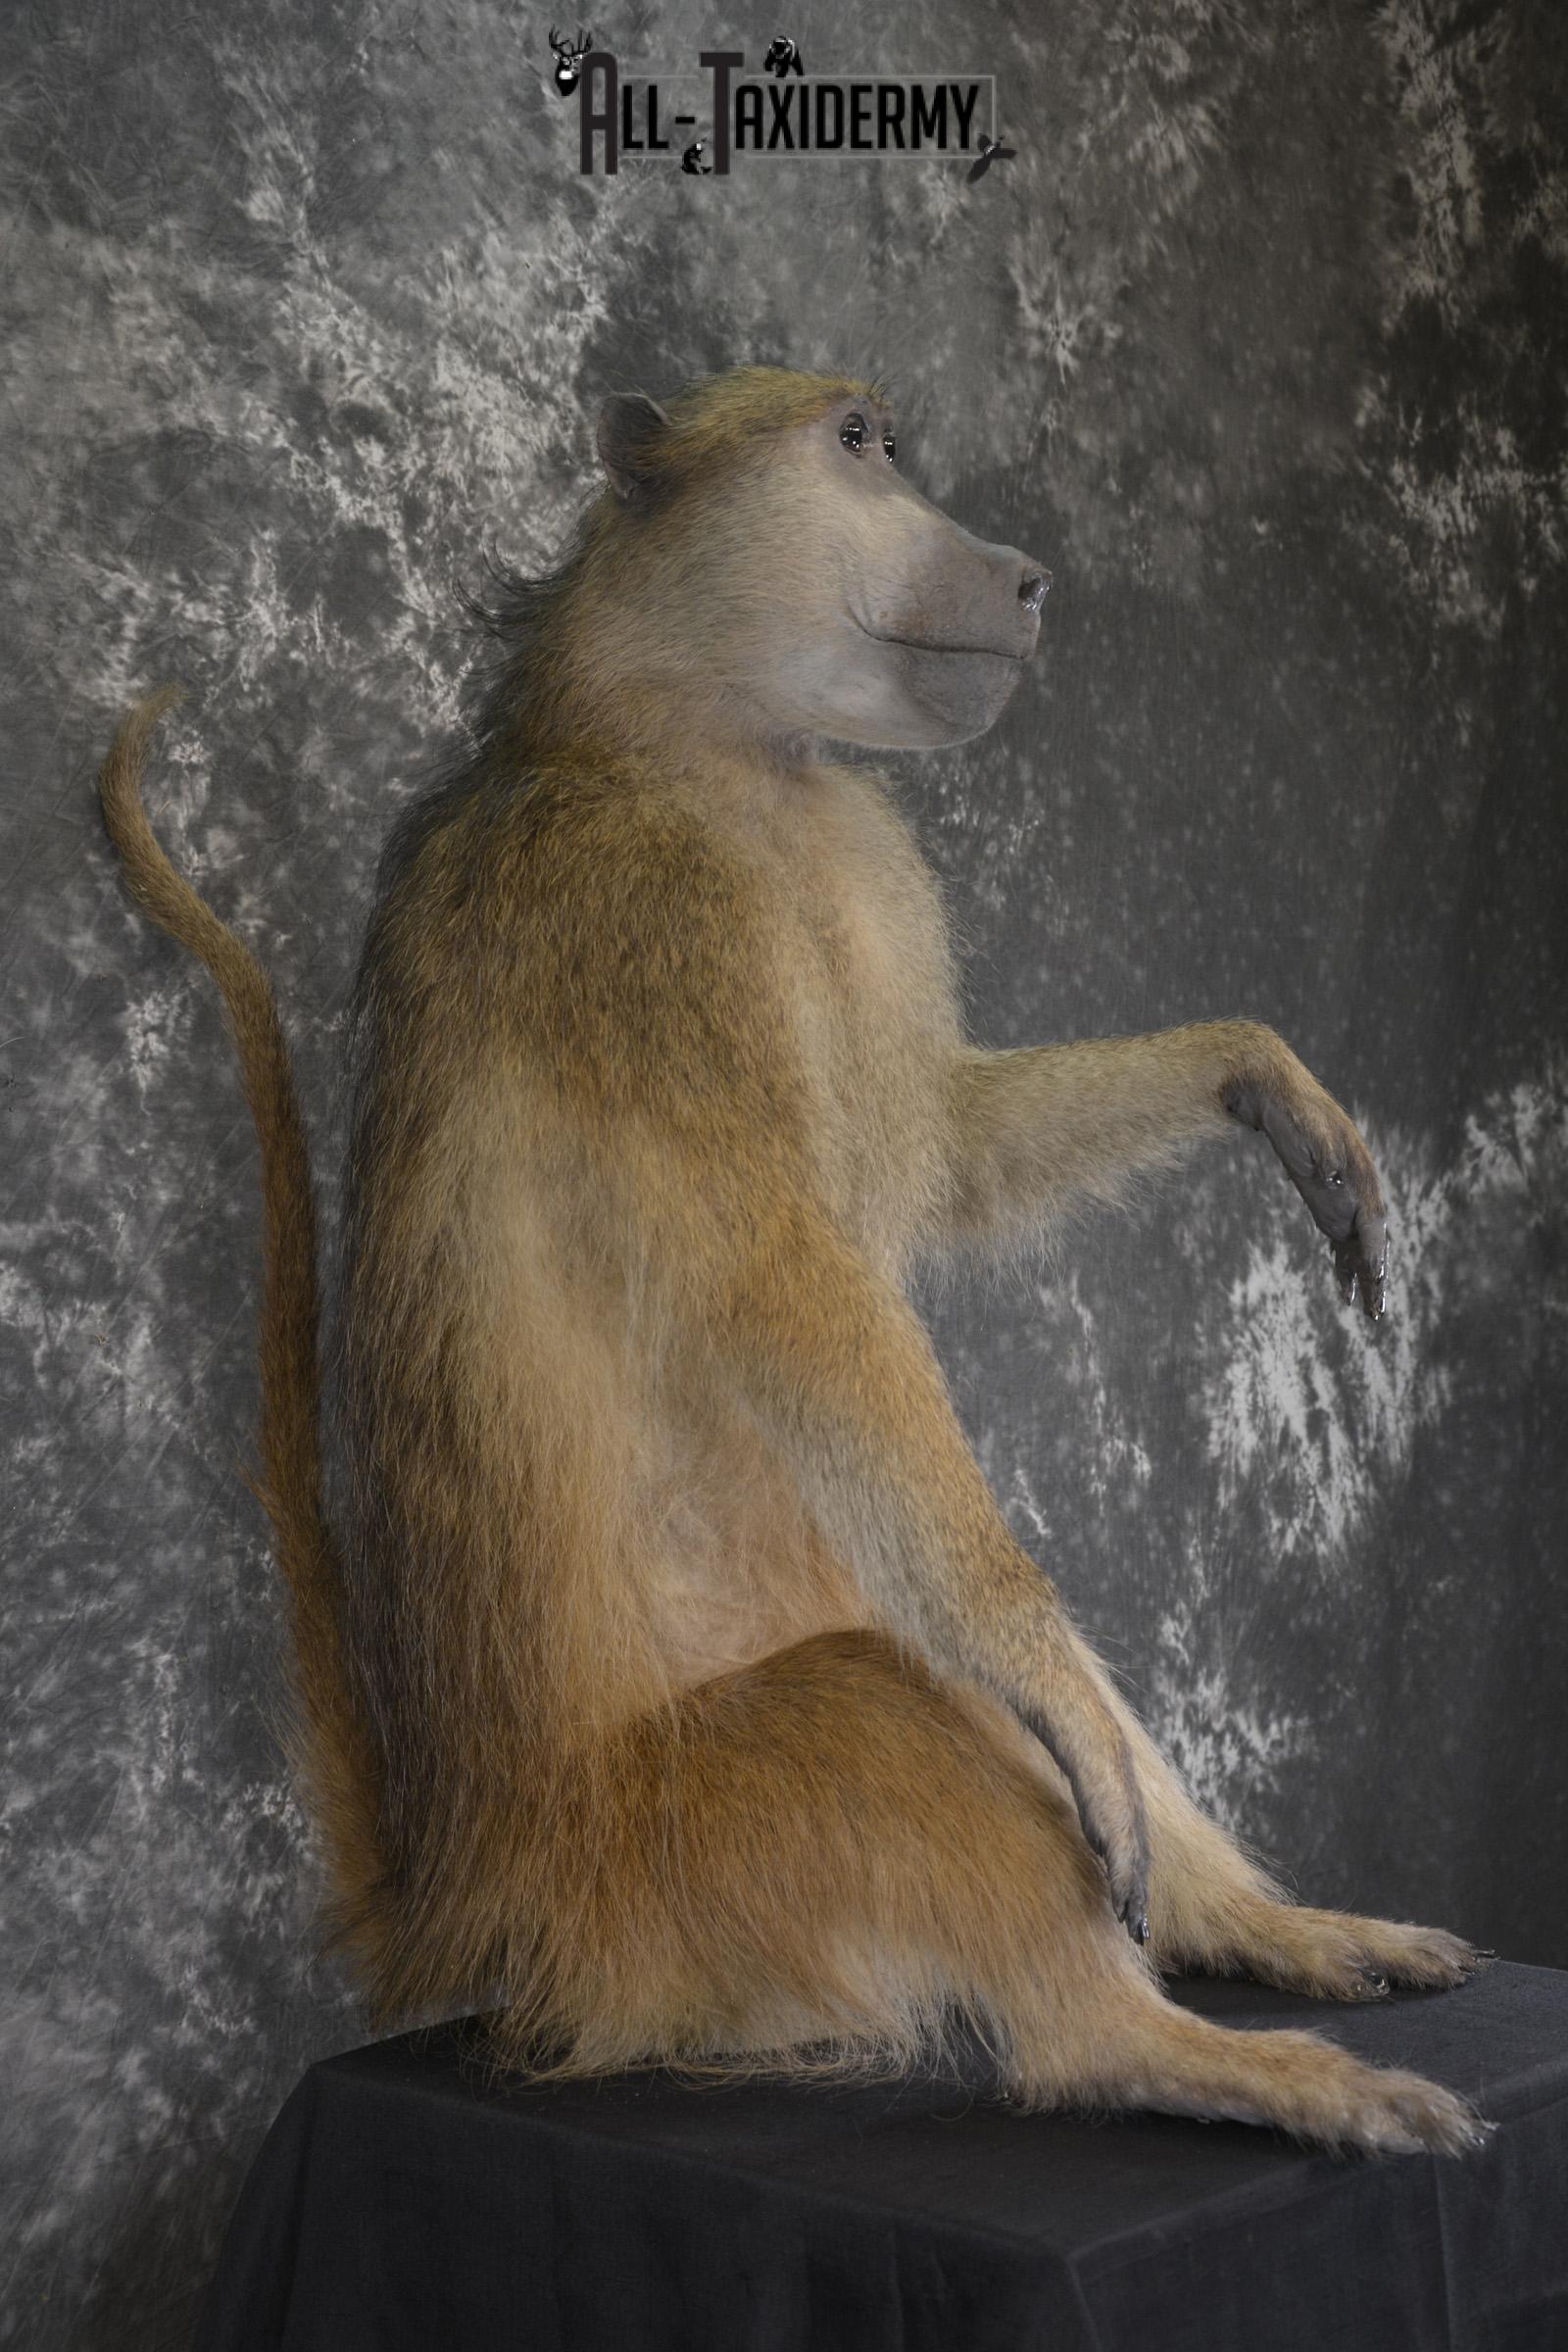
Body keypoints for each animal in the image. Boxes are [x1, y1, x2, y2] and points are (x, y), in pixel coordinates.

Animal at [100, 364, 1493, 2157]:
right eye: (860, 446)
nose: (1026, 578)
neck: (695, 741)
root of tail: (486, 1895)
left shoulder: (855, 854)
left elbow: (952, 1159)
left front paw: (1262, 1079)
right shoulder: (647, 921)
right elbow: (791, 1284)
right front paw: (1056, 1700)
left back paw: (1271, 1933)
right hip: (678, 1871)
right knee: (894, 1710)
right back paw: (1172, 2050)